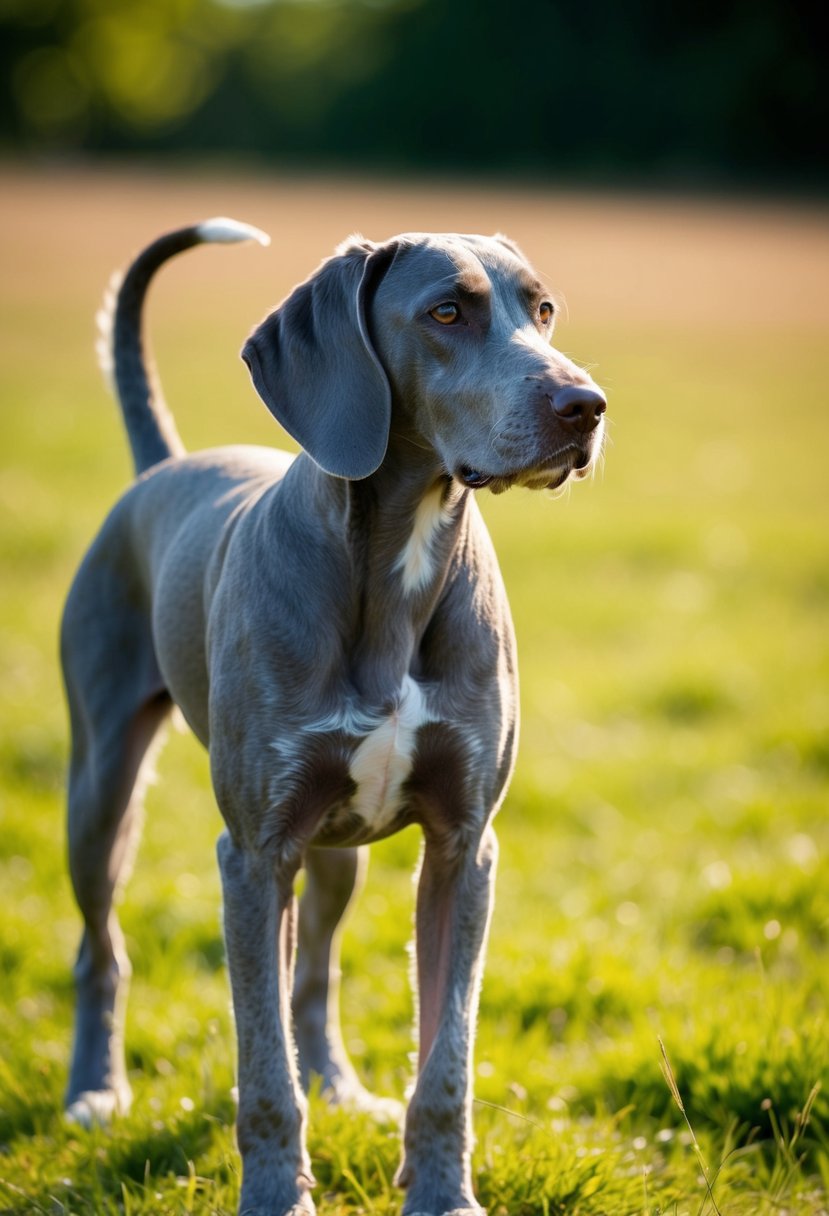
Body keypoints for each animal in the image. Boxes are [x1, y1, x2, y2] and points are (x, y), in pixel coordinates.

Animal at [61, 218, 602, 1216]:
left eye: (543, 309)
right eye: (446, 311)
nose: (584, 404)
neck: (398, 562)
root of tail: (165, 463)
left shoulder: (464, 848)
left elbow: (446, 1057)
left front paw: (443, 1194)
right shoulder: (252, 854)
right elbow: (261, 1065)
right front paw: (277, 1196)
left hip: (337, 849)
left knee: (313, 970)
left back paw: (340, 1084)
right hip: (101, 790)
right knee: (102, 950)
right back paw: (95, 1092)